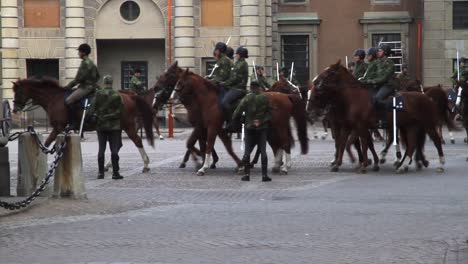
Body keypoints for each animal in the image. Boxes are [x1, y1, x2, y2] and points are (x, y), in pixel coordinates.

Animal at [11, 76, 154, 172]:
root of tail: (130, 96)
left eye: (18, 92)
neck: (54, 98)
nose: (15, 109)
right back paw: (109, 165)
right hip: (117, 127)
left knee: (137, 141)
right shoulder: (60, 128)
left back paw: (146, 164)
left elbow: (47, 144)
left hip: (127, 126)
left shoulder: (58, 127)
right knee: (119, 145)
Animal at [310, 61, 446, 173]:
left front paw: (364, 164)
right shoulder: (347, 126)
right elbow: (344, 143)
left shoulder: (360, 126)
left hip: (427, 125)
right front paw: (338, 164)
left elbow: (363, 144)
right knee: (411, 144)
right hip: (410, 126)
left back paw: (439, 164)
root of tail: (426, 97)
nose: (315, 81)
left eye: (330, 72)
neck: (352, 98)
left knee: (435, 141)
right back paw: (403, 165)